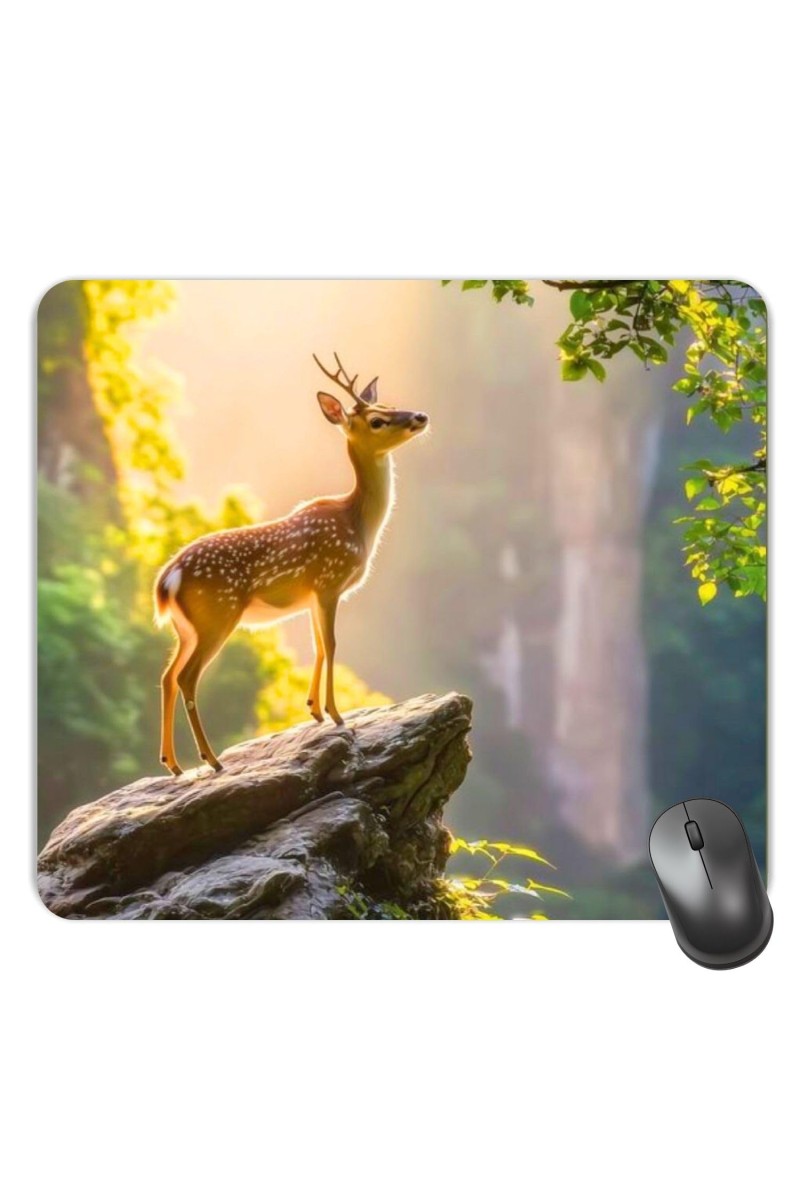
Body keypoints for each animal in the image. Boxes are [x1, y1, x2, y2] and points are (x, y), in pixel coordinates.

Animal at [153, 353, 429, 775]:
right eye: (377, 420)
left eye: (387, 404)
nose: (420, 416)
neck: (359, 523)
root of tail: (168, 578)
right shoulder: (330, 580)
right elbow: (331, 644)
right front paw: (336, 715)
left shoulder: (312, 595)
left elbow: (318, 646)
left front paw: (313, 710)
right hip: (217, 614)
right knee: (186, 678)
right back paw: (212, 761)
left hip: (185, 628)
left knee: (167, 676)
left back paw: (173, 764)